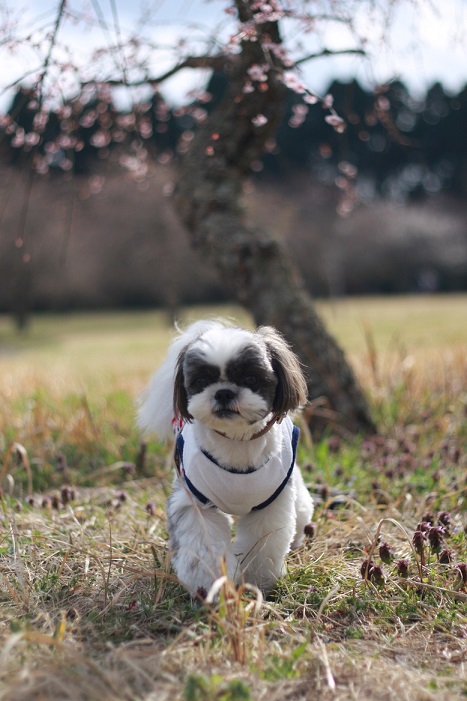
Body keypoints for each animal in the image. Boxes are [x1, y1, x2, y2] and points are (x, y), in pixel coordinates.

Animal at [139, 320, 314, 600]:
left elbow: (262, 544)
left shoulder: (270, 505)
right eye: (201, 380)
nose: (223, 392)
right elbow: (202, 545)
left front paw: (257, 581)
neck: (236, 443)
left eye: (251, 378)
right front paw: (212, 586)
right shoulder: (194, 502)